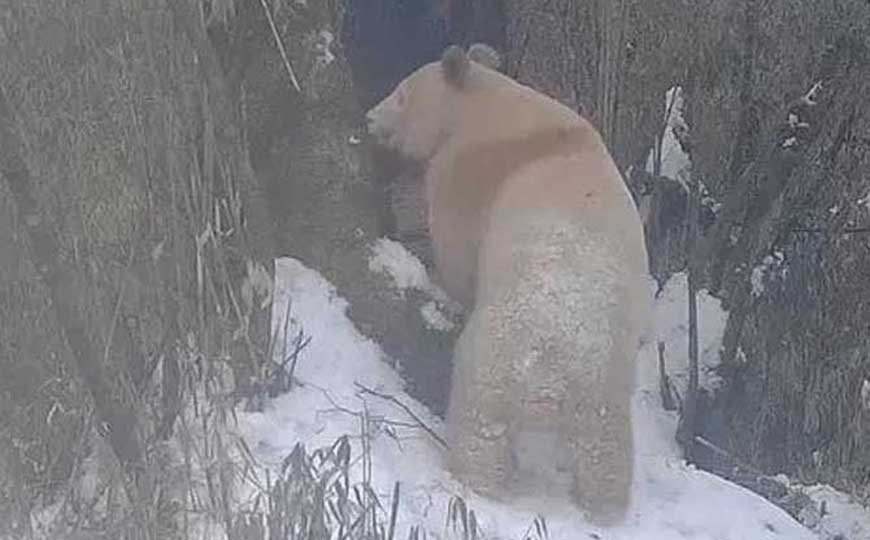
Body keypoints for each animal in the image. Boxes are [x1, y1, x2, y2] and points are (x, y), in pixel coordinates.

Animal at [366, 45, 650, 526]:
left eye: (401, 94)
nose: (369, 119)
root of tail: (555, 381)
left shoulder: (470, 168)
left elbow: (456, 251)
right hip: (604, 384)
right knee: (607, 453)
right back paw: (603, 509)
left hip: (500, 352)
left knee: (480, 422)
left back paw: (476, 484)